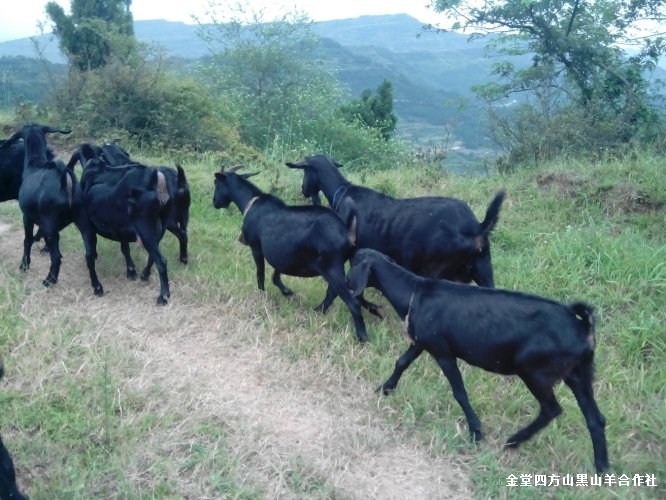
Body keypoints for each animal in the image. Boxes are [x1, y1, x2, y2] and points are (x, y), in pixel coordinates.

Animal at [214, 168, 376, 344]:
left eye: (217, 183)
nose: (215, 202)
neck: (251, 202)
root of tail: (347, 232)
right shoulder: (282, 255)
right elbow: (275, 275)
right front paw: (287, 292)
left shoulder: (256, 248)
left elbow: (260, 273)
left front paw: (261, 295)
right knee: (333, 292)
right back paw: (319, 310)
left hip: (331, 267)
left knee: (350, 301)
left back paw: (361, 336)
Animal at [284, 155, 504, 290]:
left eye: (304, 171)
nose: (303, 190)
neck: (344, 191)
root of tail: (476, 227)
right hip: (483, 269)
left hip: (436, 269)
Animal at [344, 249, 608, 472]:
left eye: (354, 263)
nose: (346, 284)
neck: (415, 293)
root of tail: (582, 327)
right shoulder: (423, 342)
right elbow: (402, 362)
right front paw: (385, 388)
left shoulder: (443, 352)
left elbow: (459, 391)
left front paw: (476, 431)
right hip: (578, 373)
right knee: (595, 419)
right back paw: (602, 467)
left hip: (534, 371)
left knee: (551, 409)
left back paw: (513, 441)